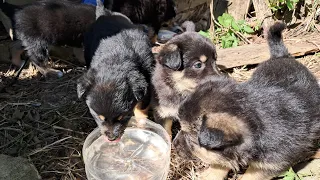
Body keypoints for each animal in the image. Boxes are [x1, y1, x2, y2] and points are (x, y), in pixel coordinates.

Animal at [76, 1, 154, 142]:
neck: (116, 58)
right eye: (98, 117)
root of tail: (105, 13)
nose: (111, 138)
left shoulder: (148, 83)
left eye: (122, 116)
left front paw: (141, 124)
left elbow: (141, 107)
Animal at [175, 21, 320, 179]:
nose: (174, 146)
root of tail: (282, 55)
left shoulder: (271, 164)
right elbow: (222, 161)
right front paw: (212, 173)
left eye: (190, 138)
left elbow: (249, 174)